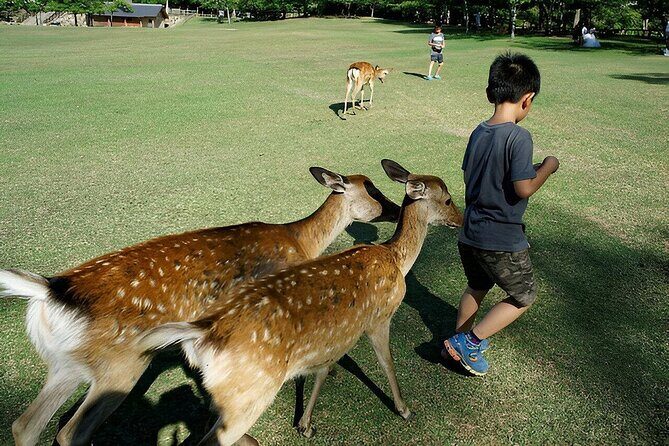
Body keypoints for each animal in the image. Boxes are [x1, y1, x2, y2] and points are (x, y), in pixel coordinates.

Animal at [0, 166, 400, 446]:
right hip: (120, 365)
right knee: (70, 432)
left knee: (24, 425)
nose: (397, 209)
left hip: (65, 365)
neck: (301, 242)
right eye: (373, 189)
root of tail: (51, 289)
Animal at [137, 159, 464, 445]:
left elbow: (324, 367)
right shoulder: (379, 318)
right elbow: (387, 362)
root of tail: (202, 332)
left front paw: (305, 424)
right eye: (448, 199)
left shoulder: (337, 333)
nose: (460, 221)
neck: (396, 260)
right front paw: (404, 409)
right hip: (250, 394)